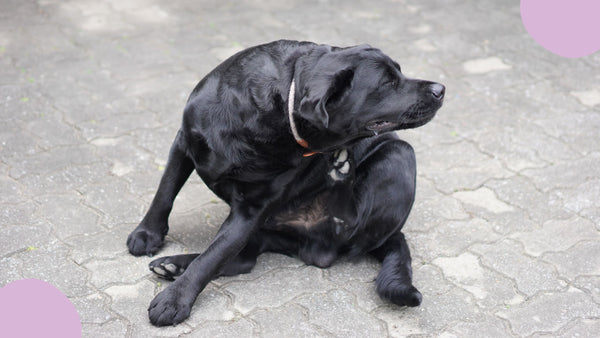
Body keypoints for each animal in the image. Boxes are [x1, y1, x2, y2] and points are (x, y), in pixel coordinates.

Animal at [127, 39, 446, 324]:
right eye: (388, 82)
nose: (440, 89)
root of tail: (394, 234)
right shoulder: (185, 140)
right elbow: (165, 192)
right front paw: (147, 235)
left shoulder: (252, 209)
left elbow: (212, 256)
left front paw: (174, 300)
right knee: (244, 258)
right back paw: (172, 265)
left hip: (400, 154)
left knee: (336, 236)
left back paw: (342, 169)